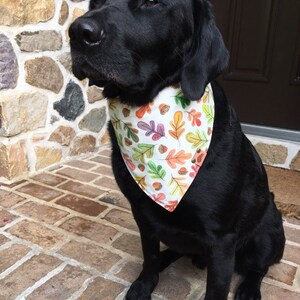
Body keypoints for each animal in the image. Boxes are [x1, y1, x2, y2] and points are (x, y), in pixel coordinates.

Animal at [68, 1, 286, 298]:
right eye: (96, 2)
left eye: (152, 3)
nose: (78, 32)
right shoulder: (142, 214)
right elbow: (149, 256)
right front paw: (144, 283)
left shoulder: (221, 239)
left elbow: (217, 288)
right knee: (171, 250)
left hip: (268, 231)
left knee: (259, 266)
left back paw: (250, 288)